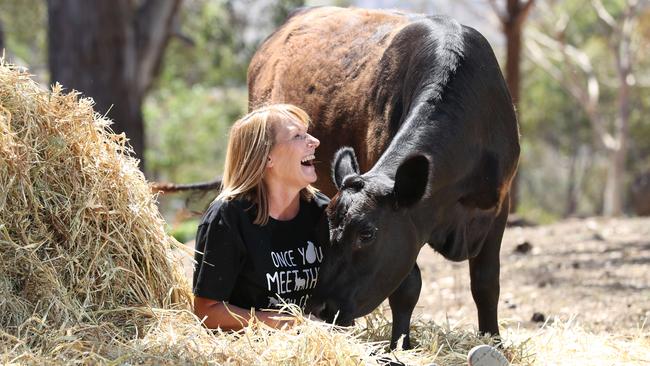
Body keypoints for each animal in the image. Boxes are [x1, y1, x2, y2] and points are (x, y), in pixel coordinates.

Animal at [246, 5, 520, 348]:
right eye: (321, 232)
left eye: (367, 234)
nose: (321, 308)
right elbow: (408, 286)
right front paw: (399, 345)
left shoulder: (499, 206)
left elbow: (486, 283)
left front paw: (493, 341)